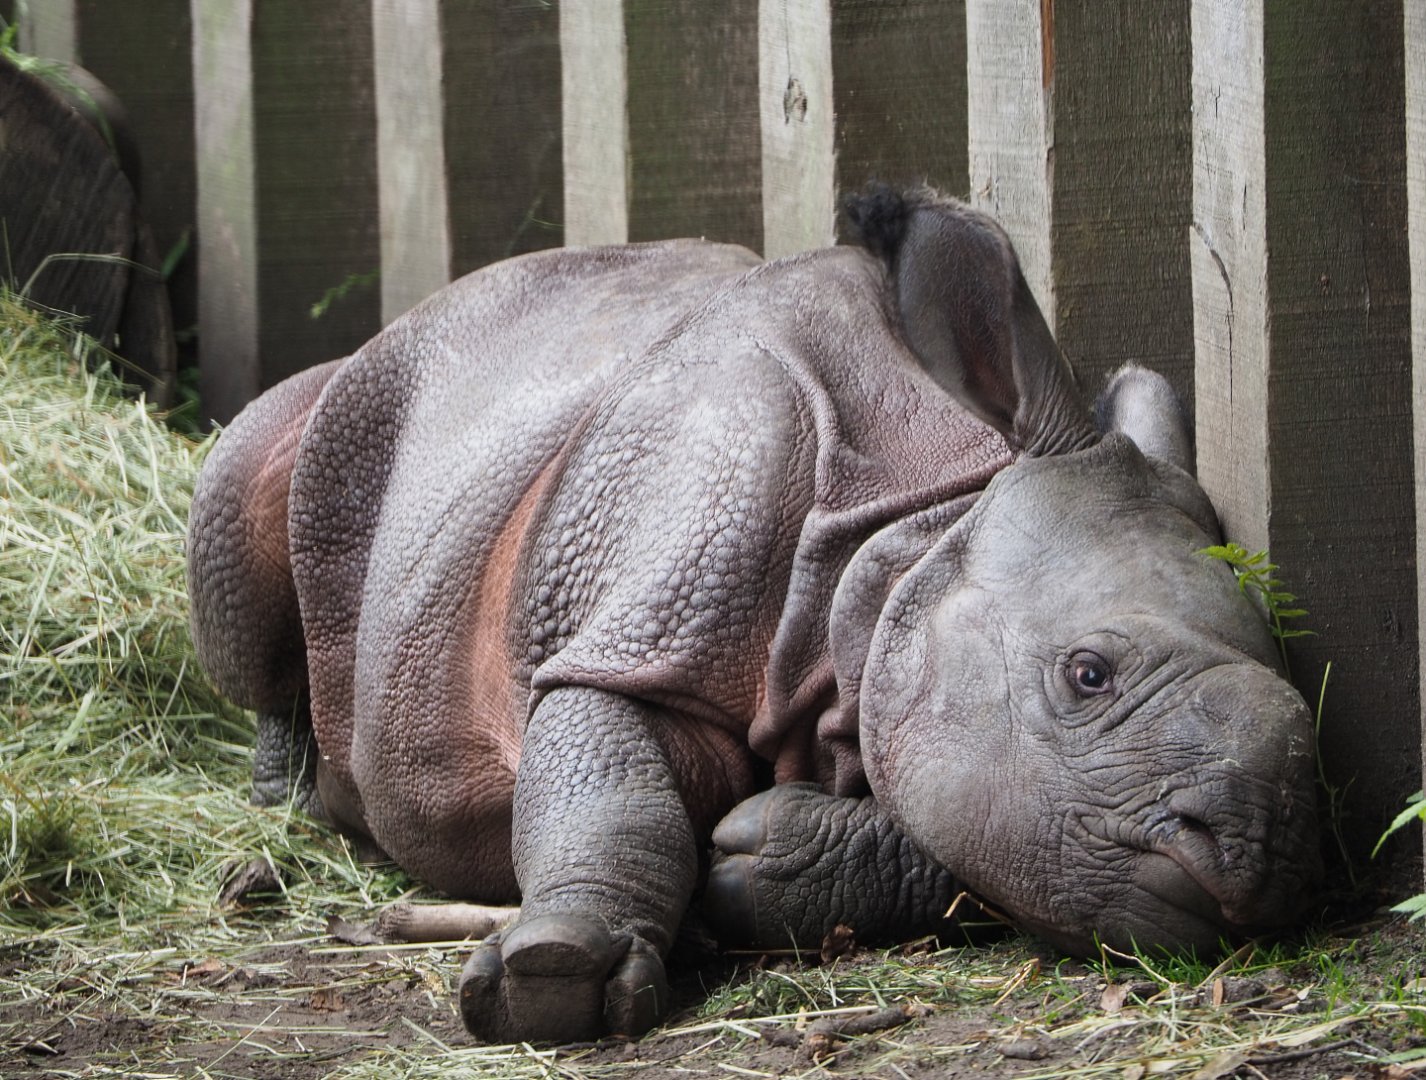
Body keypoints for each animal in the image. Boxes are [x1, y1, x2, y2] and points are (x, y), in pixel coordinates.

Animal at [187, 186, 1320, 1045]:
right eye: (1089, 675)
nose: (1259, 853)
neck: (904, 536)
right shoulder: (637, 634)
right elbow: (611, 781)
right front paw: (556, 979)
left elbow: (961, 832)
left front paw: (758, 859)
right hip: (355, 409)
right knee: (246, 478)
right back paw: (295, 796)